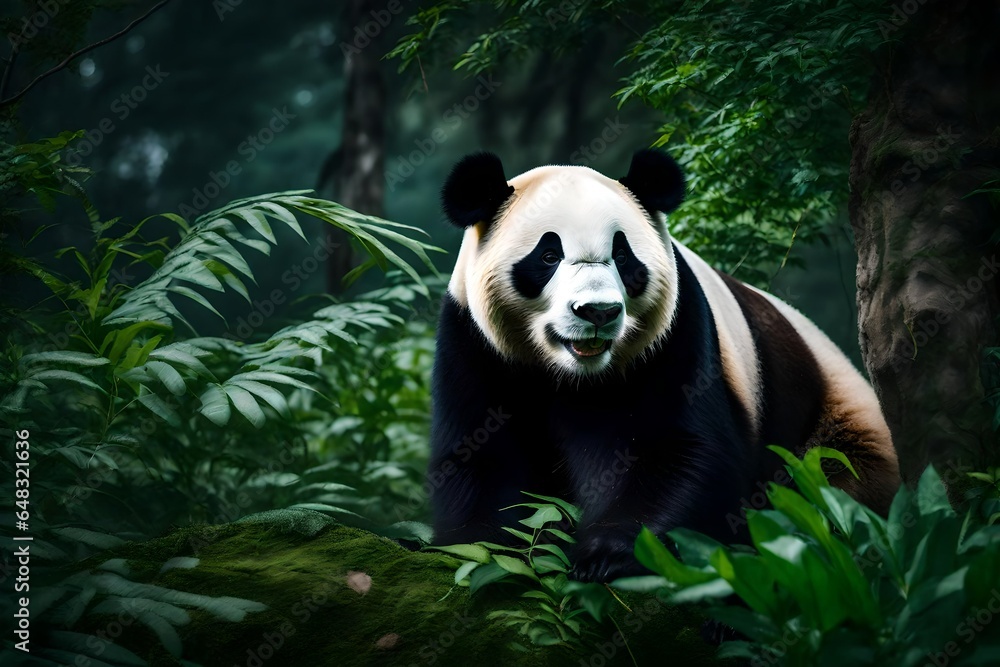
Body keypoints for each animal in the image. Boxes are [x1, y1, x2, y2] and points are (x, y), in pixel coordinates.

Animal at [429, 149, 899, 582]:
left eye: (622, 256)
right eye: (547, 256)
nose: (597, 311)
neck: (574, 377)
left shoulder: (676, 336)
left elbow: (683, 451)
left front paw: (607, 554)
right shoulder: (475, 344)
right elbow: (481, 455)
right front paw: (488, 547)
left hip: (831, 429)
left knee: (835, 490)